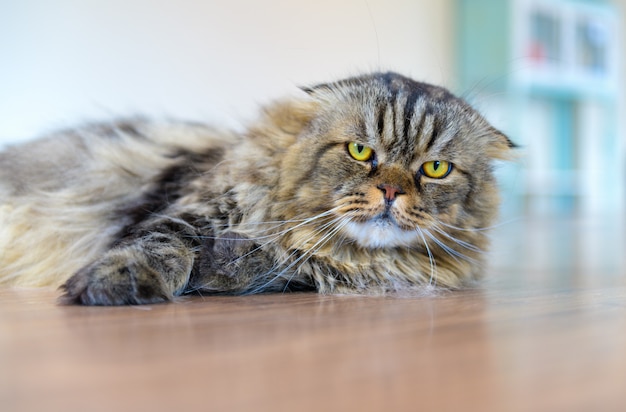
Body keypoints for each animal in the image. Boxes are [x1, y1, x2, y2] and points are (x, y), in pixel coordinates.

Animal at [0, 73, 516, 306]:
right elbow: (160, 244)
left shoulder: (309, 274)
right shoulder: (188, 207)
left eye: (435, 169)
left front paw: (229, 261)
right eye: (360, 151)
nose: (390, 192)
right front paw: (121, 281)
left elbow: (270, 269)